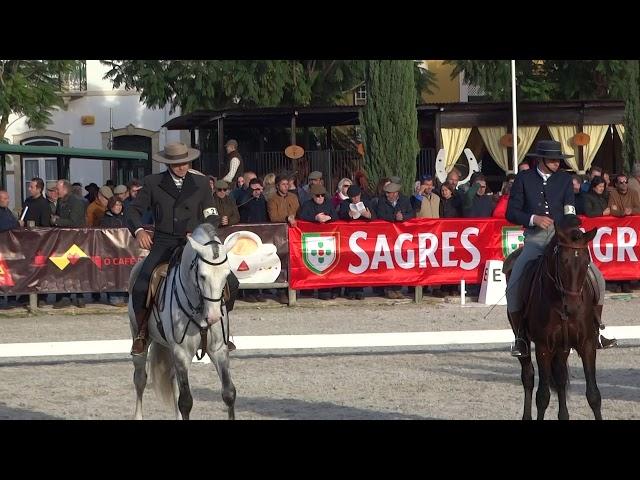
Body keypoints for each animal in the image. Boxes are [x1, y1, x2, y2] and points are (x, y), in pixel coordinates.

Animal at [508, 225, 604, 420]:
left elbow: (594, 395)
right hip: (523, 340)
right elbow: (542, 396)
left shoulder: (587, 344)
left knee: (560, 377)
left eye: (586, 262)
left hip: (562, 346)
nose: (572, 307)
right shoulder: (543, 347)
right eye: (563, 261)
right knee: (528, 376)